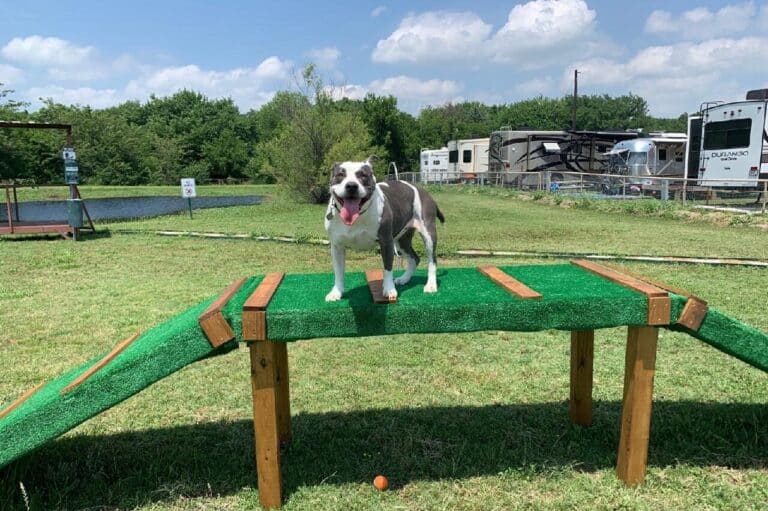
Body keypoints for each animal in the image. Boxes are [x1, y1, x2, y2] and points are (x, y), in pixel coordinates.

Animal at [324, 158, 444, 302]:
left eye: (363, 175)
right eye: (341, 174)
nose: (352, 185)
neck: (358, 215)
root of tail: (421, 189)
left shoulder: (386, 242)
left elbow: (387, 268)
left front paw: (389, 289)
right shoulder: (337, 247)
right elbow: (338, 271)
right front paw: (336, 292)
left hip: (428, 235)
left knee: (432, 260)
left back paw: (431, 285)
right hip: (402, 241)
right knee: (414, 258)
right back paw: (404, 279)